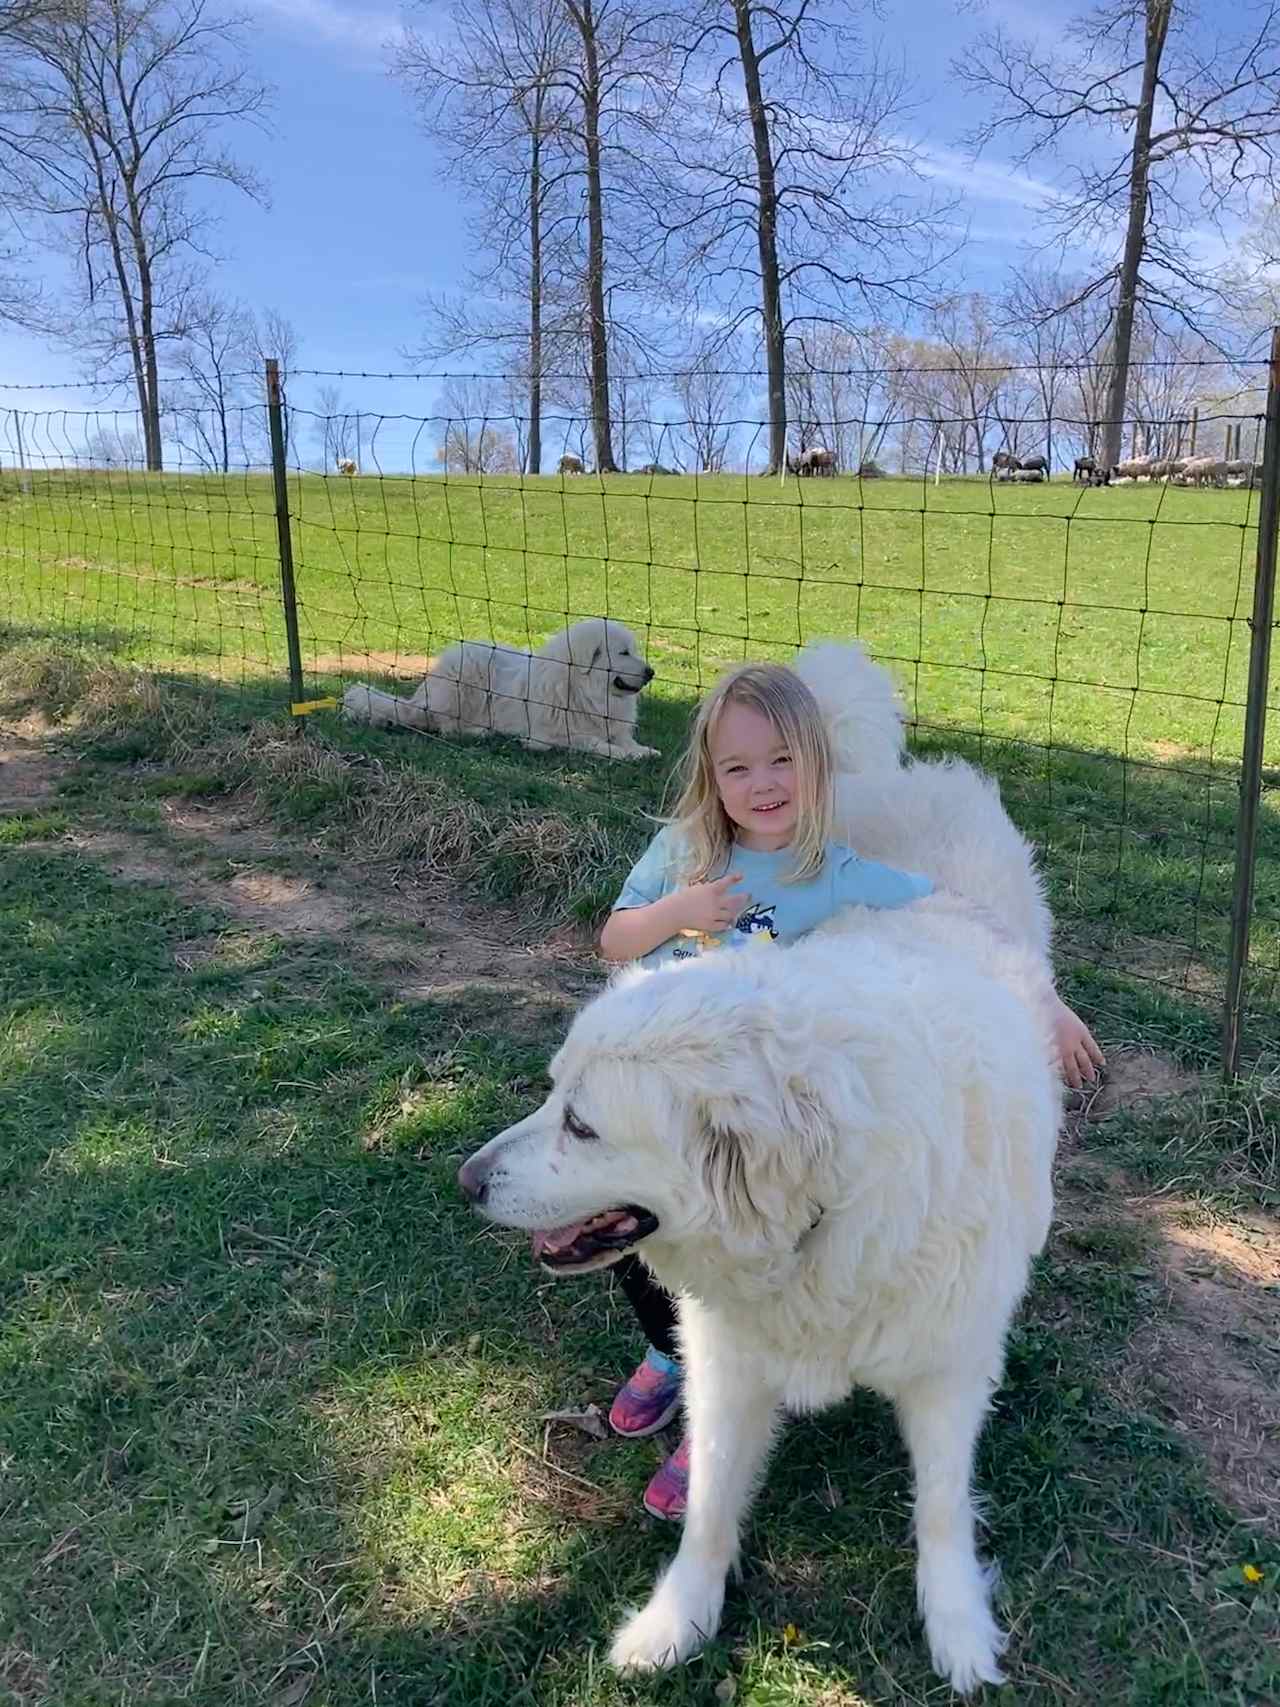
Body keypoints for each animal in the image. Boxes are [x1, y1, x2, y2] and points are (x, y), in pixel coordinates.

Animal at [341, 617, 655, 757]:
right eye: (624, 653)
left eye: (633, 651)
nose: (651, 672)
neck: (583, 689)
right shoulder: (549, 736)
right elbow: (591, 741)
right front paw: (621, 754)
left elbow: (623, 739)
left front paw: (642, 750)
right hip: (466, 679)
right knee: (443, 726)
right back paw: (479, 732)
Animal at [457, 641, 1064, 1693]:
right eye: (550, 1092)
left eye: (581, 1124)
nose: (466, 1178)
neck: (824, 1212)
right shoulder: (728, 1359)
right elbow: (708, 1508)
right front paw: (674, 1620)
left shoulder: (947, 1364)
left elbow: (942, 1508)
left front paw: (958, 1629)